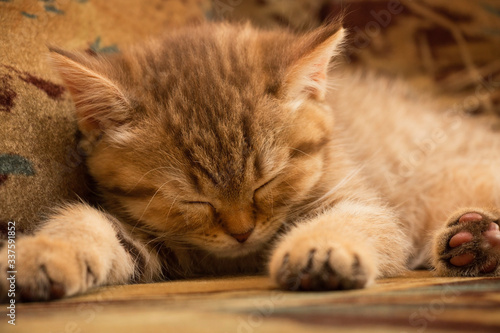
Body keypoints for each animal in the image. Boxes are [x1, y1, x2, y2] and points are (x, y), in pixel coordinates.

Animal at [0, 21, 500, 300]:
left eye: (267, 181)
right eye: (192, 200)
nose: (241, 232)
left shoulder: (362, 198)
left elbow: (359, 220)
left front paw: (321, 249)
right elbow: (92, 226)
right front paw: (44, 253)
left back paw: (474, 239)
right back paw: (472, 242)